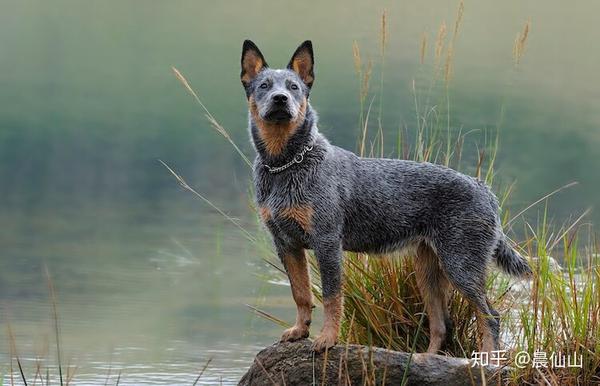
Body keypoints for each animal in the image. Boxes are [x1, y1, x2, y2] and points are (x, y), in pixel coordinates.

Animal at [241, 40, 532, 354]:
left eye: (293, 86)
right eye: (264, 85)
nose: (280, 99)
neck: (286, 165)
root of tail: (484, 189)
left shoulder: (326, 242)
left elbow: (331, 297)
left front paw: (327, 338)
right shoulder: (286, 244)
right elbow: (301, 293)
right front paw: (299, 330)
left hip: (461, 264)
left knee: (489, 315)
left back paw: (486, 359)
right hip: (428, 270)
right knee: (442, 324)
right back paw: (424, 359)